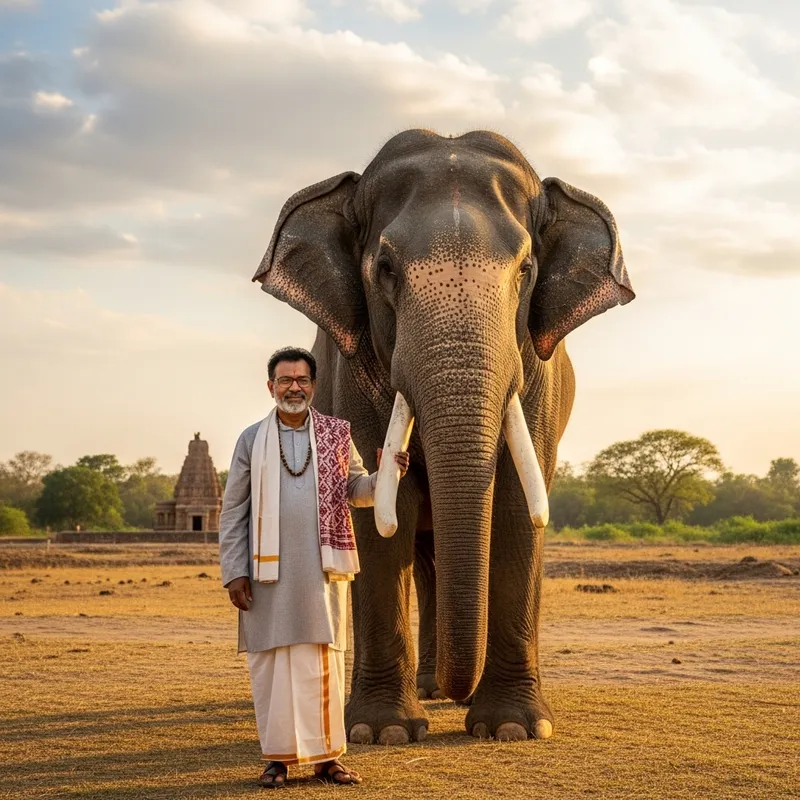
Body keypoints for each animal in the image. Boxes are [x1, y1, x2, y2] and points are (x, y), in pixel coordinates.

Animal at [254, 129, 634, 745]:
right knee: (424, 557)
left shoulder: (538, 380)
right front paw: (381, 732)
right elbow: (379, 519)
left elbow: (516, 508)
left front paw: (514, 728)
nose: (460, 690)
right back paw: (425, 690)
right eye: (385, 268)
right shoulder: (345, 371)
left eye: (526, 268)